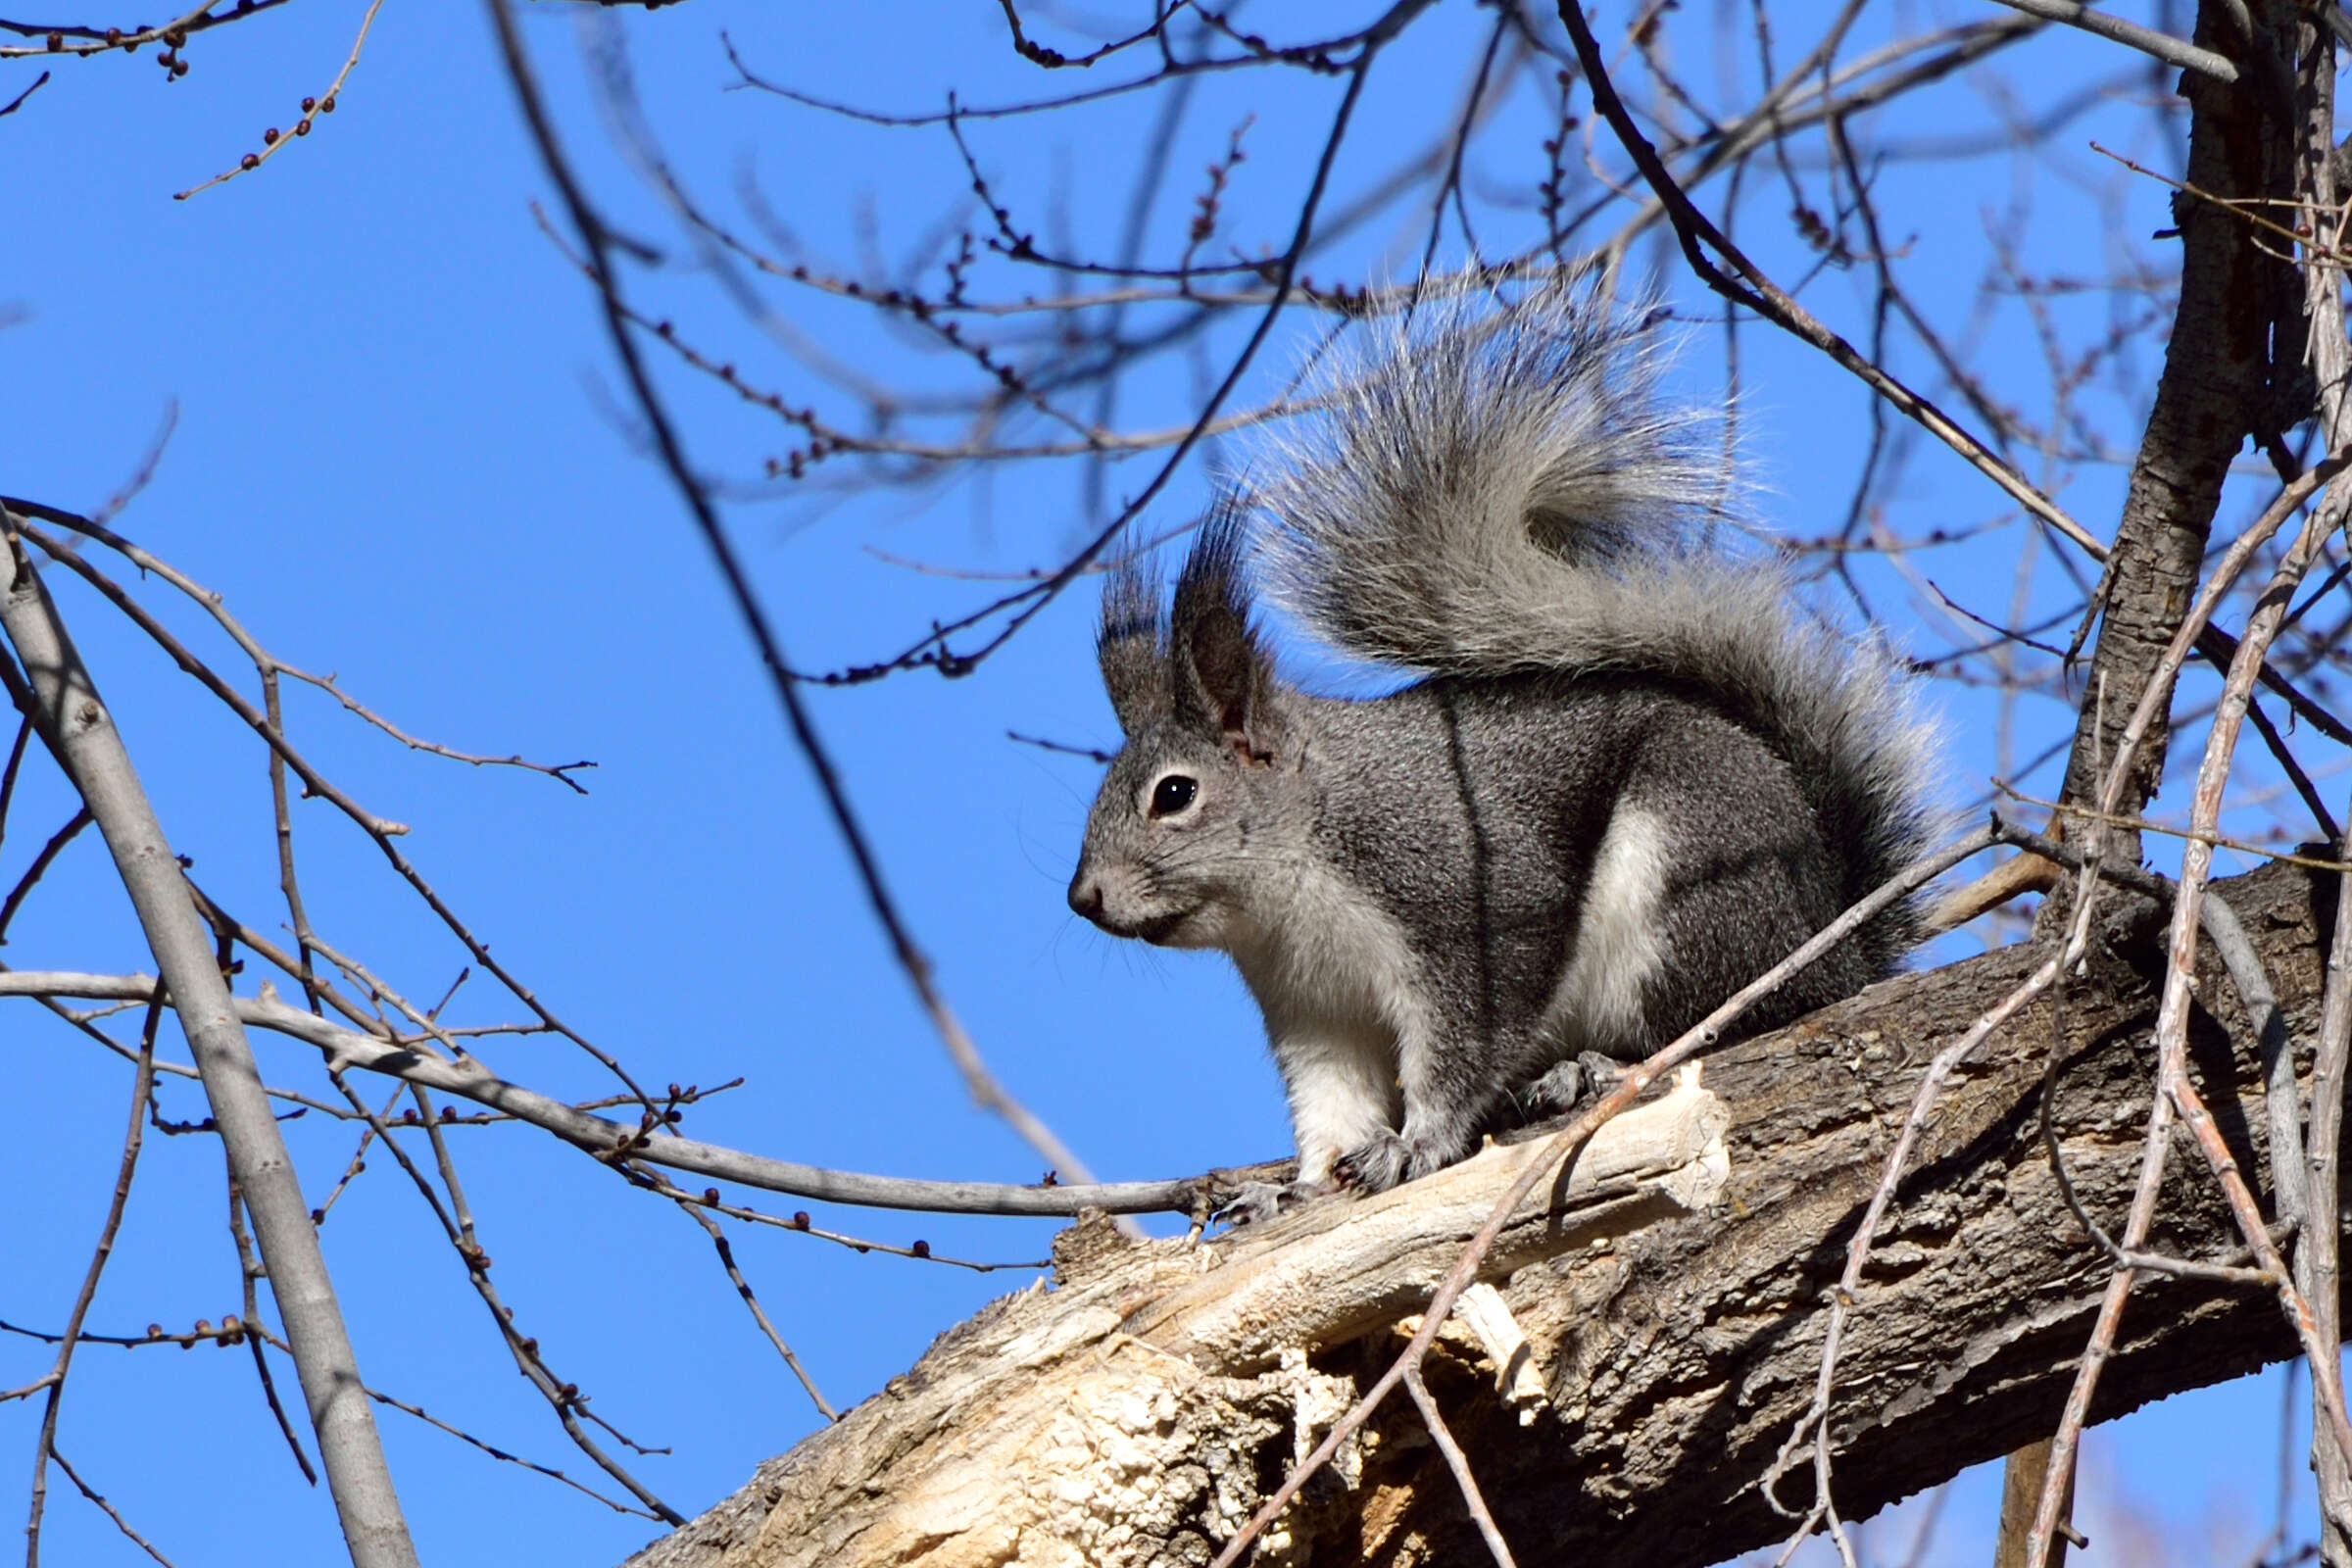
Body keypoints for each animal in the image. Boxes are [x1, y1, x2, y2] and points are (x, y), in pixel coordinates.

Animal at [1067, 281, 1947, 1222]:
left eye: (1174, 794)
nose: (1084, 899)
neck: (1295, 881)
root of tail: (1843, 951)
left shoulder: (1470, 904)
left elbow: (1467, 1044)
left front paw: (1416, 1146)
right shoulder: (1313, 1007)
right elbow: (1332, 1105)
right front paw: (1297, 1191)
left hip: (1696, 883)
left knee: (1731, 1018)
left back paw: (1595, 1067)